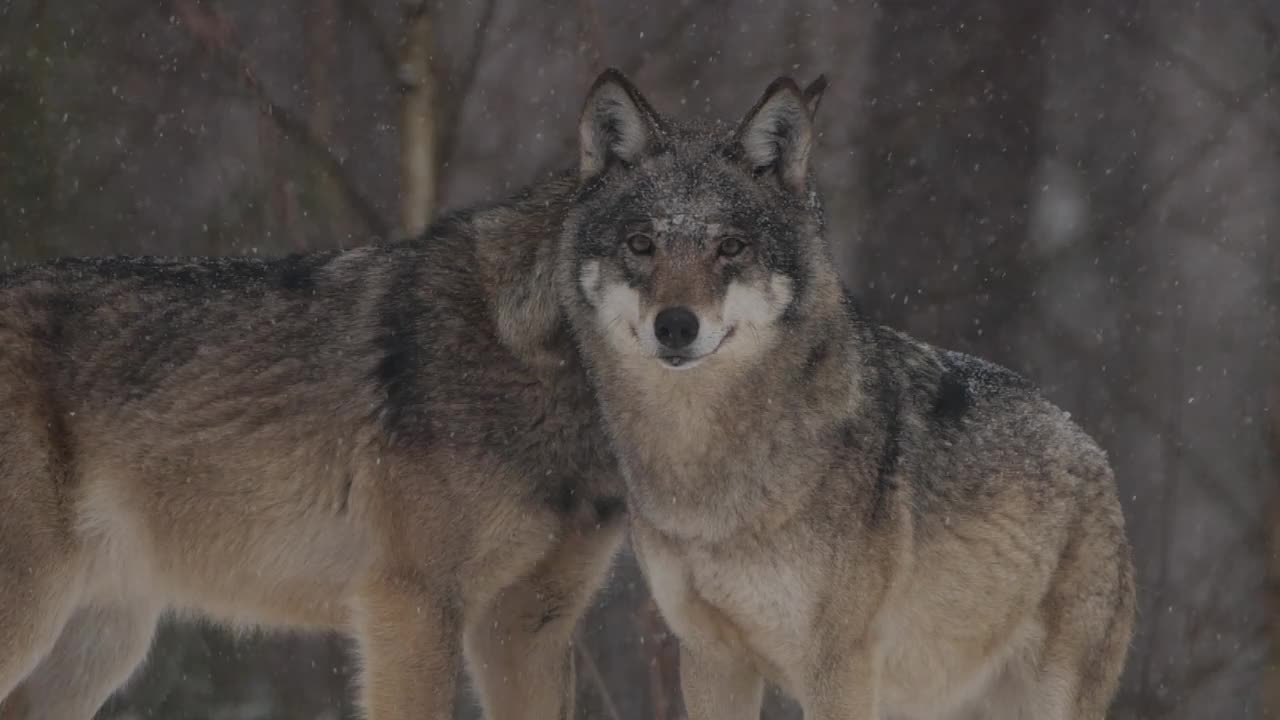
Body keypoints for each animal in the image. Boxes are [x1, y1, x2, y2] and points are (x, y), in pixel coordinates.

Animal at [555, 68, 1136, 717]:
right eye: (641, 244)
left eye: (730, 247)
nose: (676, 326)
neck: (707, 473)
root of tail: (1088, 446)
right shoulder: (710, 657)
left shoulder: (838, 666)